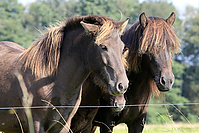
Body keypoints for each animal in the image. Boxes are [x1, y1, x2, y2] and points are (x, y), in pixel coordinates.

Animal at [0, 15, 129, 132]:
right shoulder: (36, 125)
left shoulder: (63, 126)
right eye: (103, 46)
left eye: (122, 47)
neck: (53, 81)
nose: (122, 85)